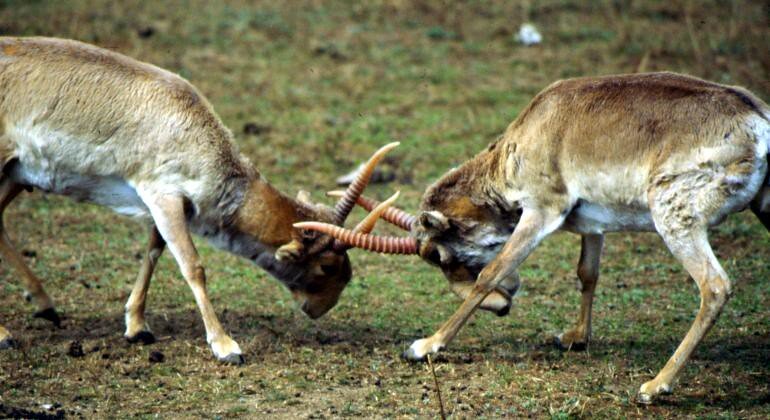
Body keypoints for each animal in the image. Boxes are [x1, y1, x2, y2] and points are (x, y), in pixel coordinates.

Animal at [0, 37, 396, 364]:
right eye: (328, 265)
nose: (321, 308)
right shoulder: (162, 194)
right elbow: (193, 266)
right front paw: (226, 346)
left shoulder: (167, 203)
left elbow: (154, 250)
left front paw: (137, 327)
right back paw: (8, 332)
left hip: (17, 175)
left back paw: (44, 305)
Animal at [298, 73, 768, 404]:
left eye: (440, 255)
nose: (504, 305)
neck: (537, 127)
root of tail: (757, 121)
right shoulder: (592, 225)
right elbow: (587, 273)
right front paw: (574, 337)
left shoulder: (540, 212)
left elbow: (492, 269)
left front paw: (425, 345)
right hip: (764, 207)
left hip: (674, 217)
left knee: (715, 286)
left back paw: (655, 386)